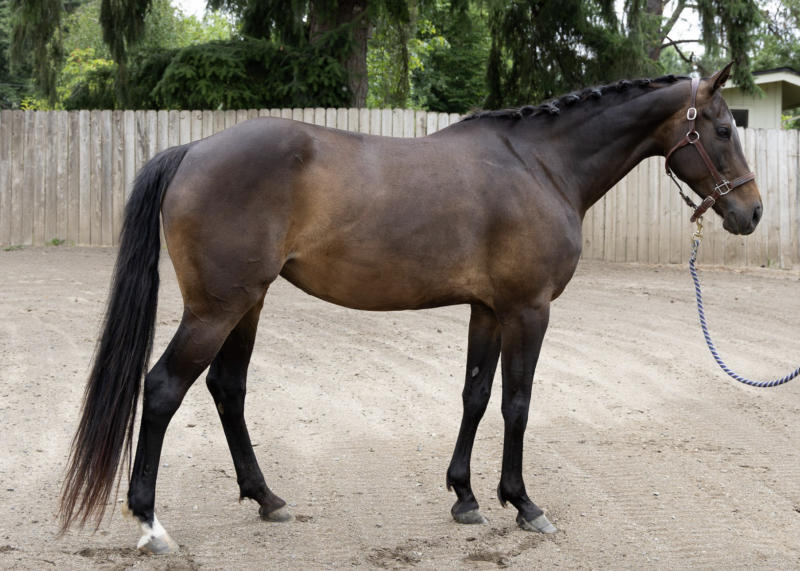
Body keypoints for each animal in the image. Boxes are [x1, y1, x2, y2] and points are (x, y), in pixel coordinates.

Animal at [59, 62, 762, 553]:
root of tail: (192, 152)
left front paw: (465, 497)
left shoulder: (488, 309)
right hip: (215, 310)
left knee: (227, 389)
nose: (751, 213)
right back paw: (151, 525)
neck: (540, 165)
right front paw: (523, 504)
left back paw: (267, 498)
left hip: (247, 305)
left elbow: (475, 395)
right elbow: (517, 403)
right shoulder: (528, 311)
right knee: (162, 390)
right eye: (724, 129)